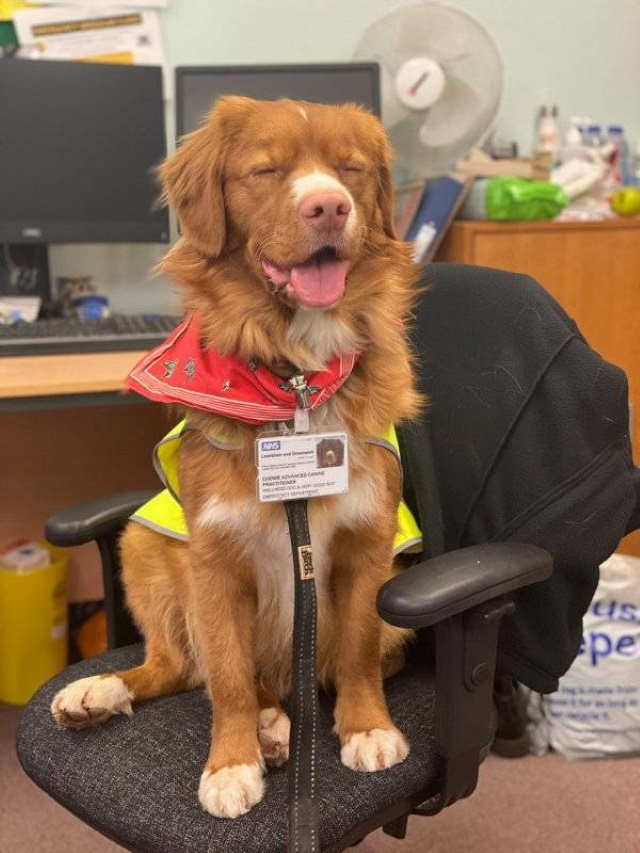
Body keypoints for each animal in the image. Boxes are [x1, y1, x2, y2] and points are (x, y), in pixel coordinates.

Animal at [48, 96, 420, 824]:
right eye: (266, 170)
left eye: (351, 169)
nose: (329, 207)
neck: (293, 380)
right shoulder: (215, 561)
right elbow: (224, 675)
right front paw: (231, 761)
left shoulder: (369, 544)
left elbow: (359, 648)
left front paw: (366, 727)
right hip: (143, 544)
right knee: (180, 666)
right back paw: (106, 691)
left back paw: (277, 729)